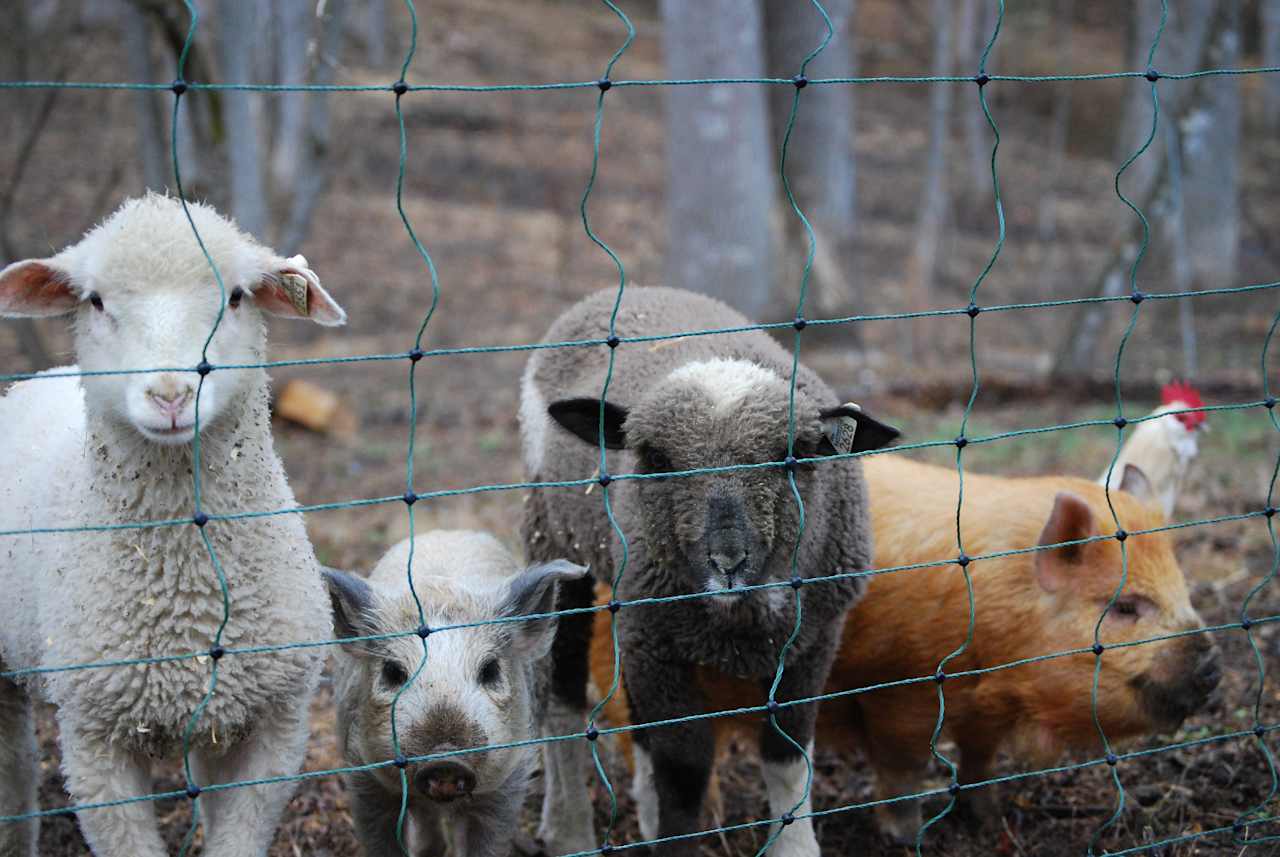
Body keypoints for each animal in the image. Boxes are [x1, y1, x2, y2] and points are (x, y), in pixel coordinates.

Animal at [0, 194, 345, 857]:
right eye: (96, 301)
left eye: (235, 297)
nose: (170, 395)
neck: (187, 589)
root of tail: (42, 378)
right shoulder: (93, 741)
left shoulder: (274, 724)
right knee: (16, 770)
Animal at [330, 529, 588, 857]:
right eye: (392, 672)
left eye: (490, 670)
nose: (445, 759)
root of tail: (448, 532)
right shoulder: (365, 778)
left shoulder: (507, 784)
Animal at [519, 289, 901, 857]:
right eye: (655, 458)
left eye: (794, 456)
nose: (727, 562)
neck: (740, 617)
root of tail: (632, 291)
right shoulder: (657, 642)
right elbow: (683, 770)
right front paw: (674, 837)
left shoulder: (814, 637)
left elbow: (786, 751)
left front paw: (794, 845)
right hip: (555, 538)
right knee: (562, 693)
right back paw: (568, 827)